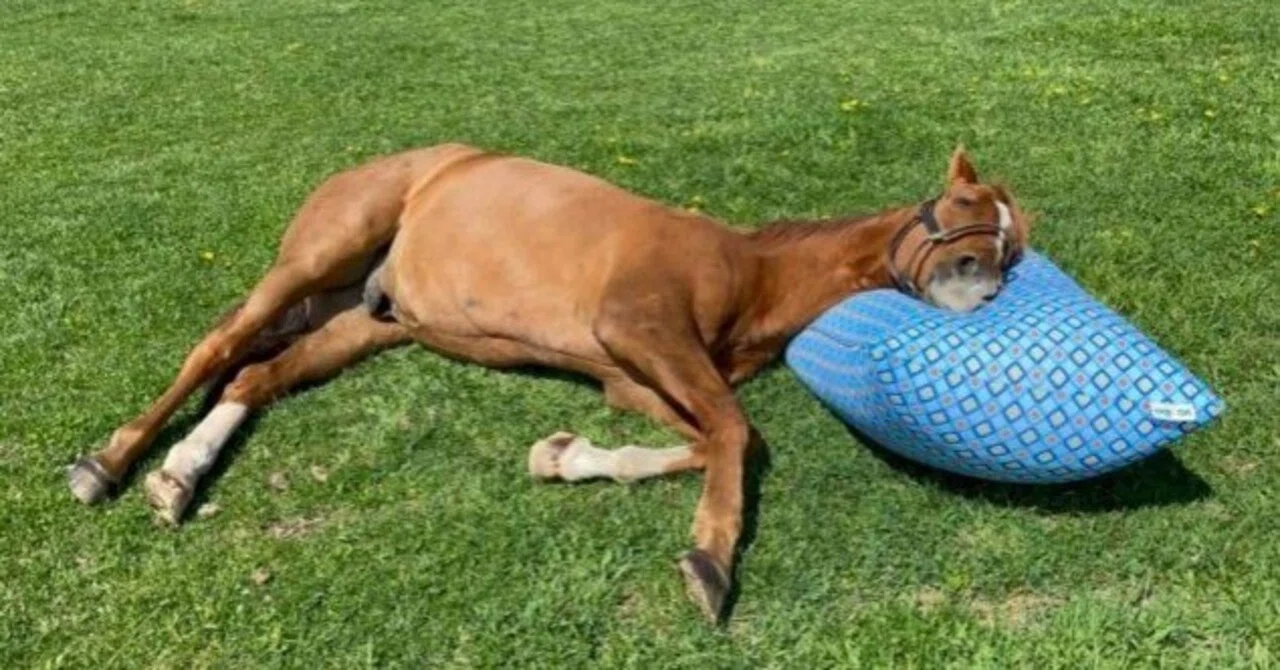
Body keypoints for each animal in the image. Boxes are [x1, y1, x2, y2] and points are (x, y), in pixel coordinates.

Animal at [67, 143, 1030, 623]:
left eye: (1014, 244)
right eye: (960, 212)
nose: (982, 290)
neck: (747, 274)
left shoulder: (634, 378)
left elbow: (703, 439)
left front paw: (563, 457)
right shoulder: (639, 330)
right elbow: (735, 435)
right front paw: (711, 562)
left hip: (366, 320)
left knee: (261, 372)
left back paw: (180, 476)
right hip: (318, 256)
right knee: (216, 346)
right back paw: (109, 464)